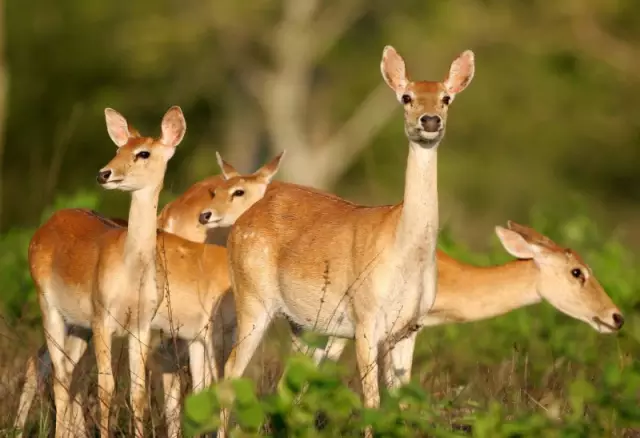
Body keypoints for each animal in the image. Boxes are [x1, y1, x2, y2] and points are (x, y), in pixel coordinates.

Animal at [215, 45, 476, 438]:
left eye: (446, 97)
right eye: (406, 97)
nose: (429, 121)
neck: (404, 253)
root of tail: (240, 224)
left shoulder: (409, 328)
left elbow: (403, 404)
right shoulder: (365, 318)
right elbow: (371, 402)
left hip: (300, 323)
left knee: (287, 384)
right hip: (252, 299)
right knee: (231, 373)